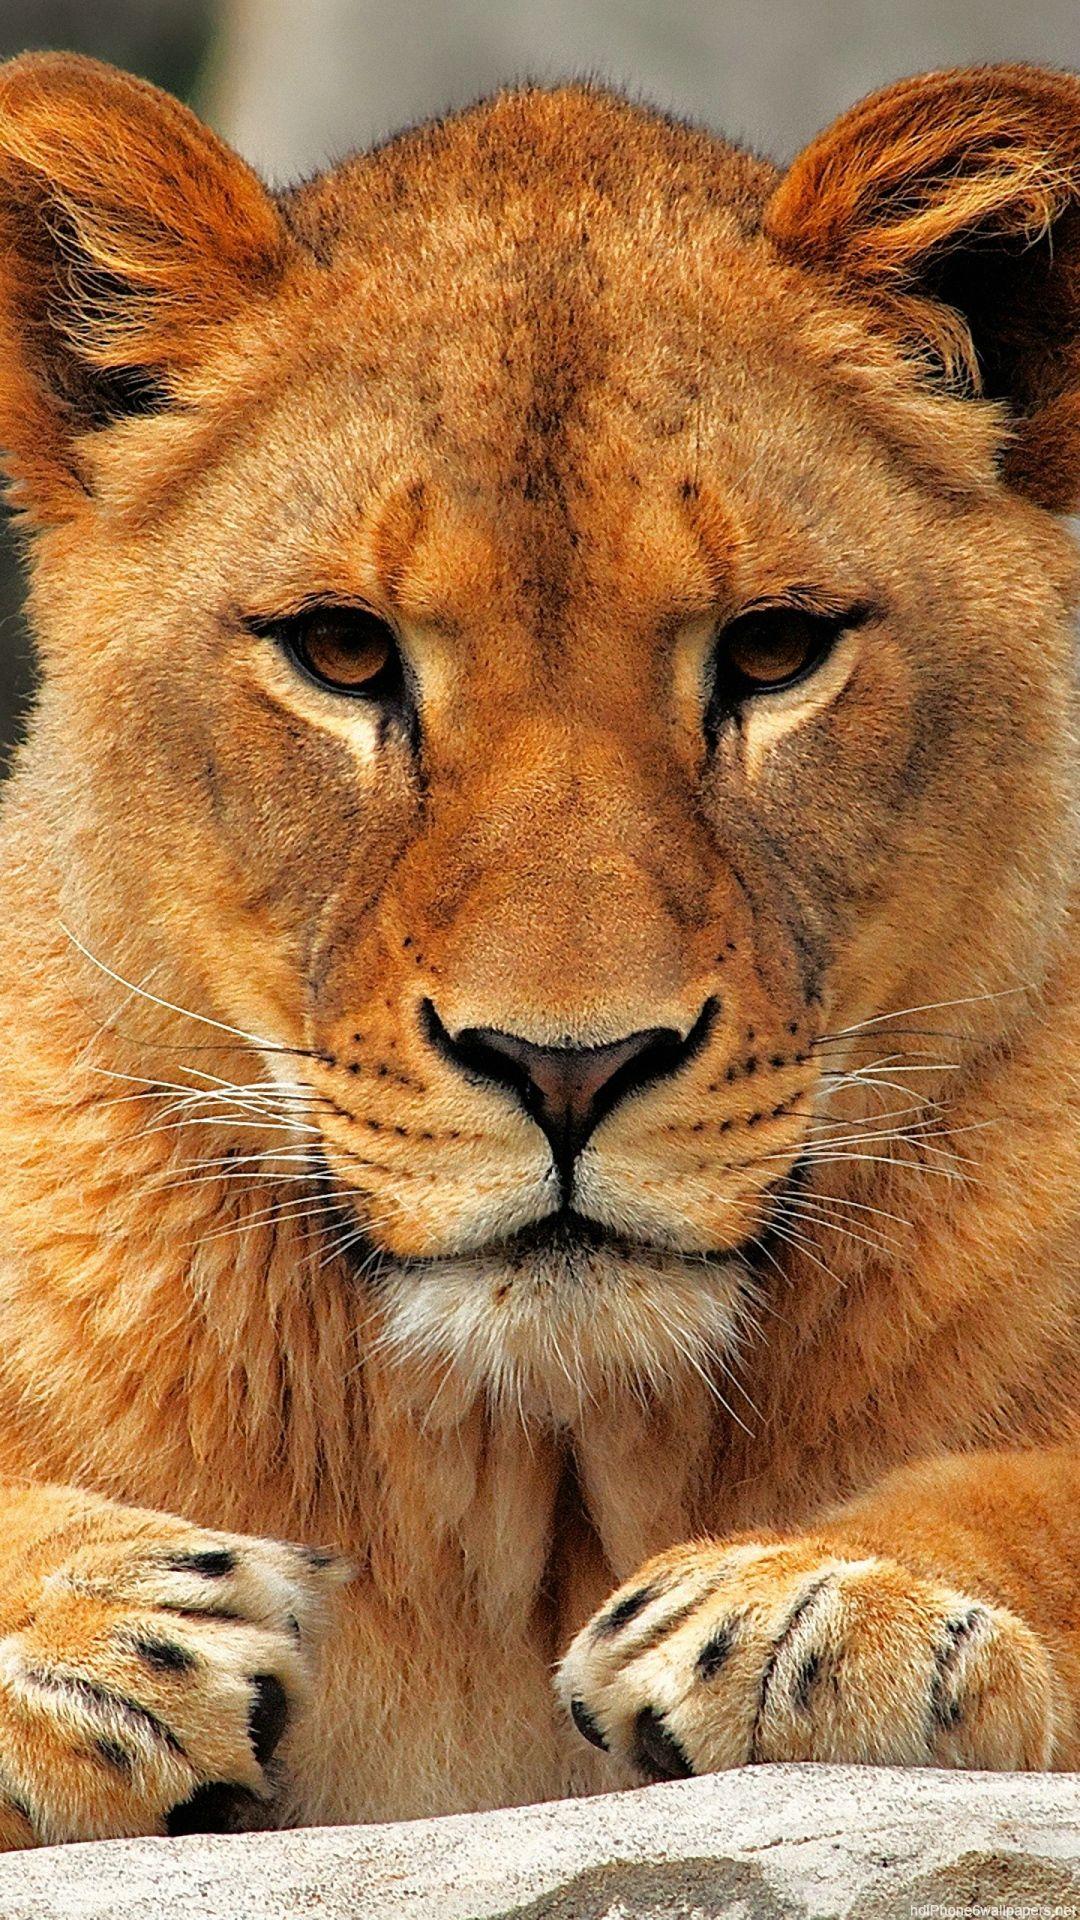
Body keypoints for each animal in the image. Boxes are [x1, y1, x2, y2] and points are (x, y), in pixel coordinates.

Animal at [0, 51, 1076, 1848]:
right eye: (341, 652)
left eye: (772, 652)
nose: (568, 1067)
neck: (542, 1472)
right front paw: (100, 1627)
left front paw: (838, 1599)